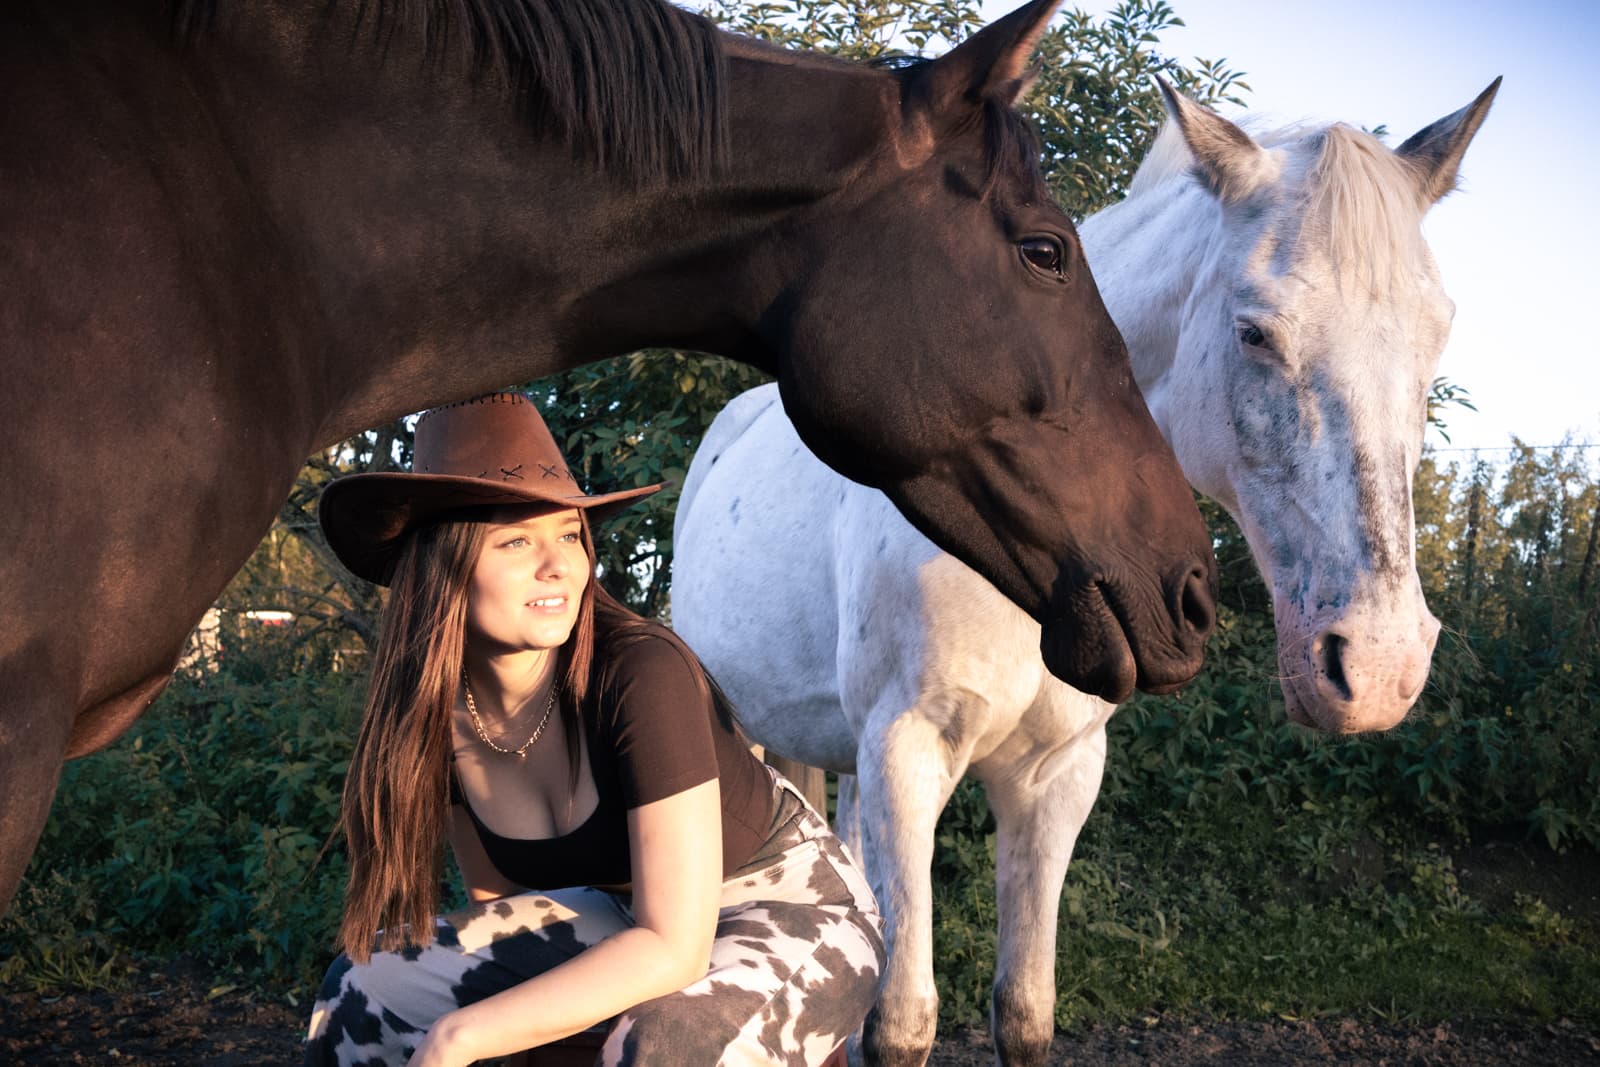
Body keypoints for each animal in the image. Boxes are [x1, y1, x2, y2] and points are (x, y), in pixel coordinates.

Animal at [671, 77, 1499, 1067]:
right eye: (1255, 331)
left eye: (1439, 333)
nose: (1378, 665)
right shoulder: (906, 753)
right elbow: (902, 1021)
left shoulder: (1058, 775)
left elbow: (1026, 1009)